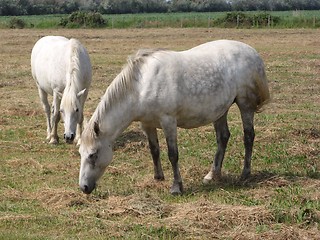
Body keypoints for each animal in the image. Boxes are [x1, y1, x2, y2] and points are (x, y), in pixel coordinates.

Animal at [78, 39, 270, 195]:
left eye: (93, 154)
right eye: (81, 153)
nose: (84, 187)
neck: (141, 87)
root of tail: (253, 52)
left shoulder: (168, 121)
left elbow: (173, 154)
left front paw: (176, 186)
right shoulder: (147, 124)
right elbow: (154, 150)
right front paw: (158, 177)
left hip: (245, 105)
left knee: (248, 136)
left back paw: (245, 174)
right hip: (220, 110)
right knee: (223, 137)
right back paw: (212, 175)